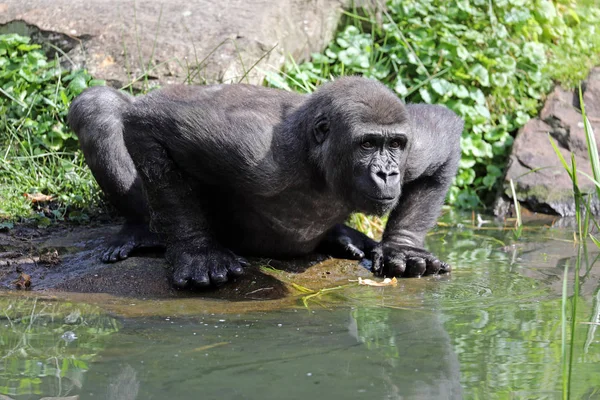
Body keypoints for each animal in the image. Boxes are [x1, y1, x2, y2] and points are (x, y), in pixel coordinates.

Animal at [69, 76, 464, 288]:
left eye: (394, 145)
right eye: (367, 144)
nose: (387, 173)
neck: (315, 162)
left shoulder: (415, 145)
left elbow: (444, 130)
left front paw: (403, 249)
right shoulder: (254, 150)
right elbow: (150, 120)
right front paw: (197, 251)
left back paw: (342, 237)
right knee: (97, 105)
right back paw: (141, 228)